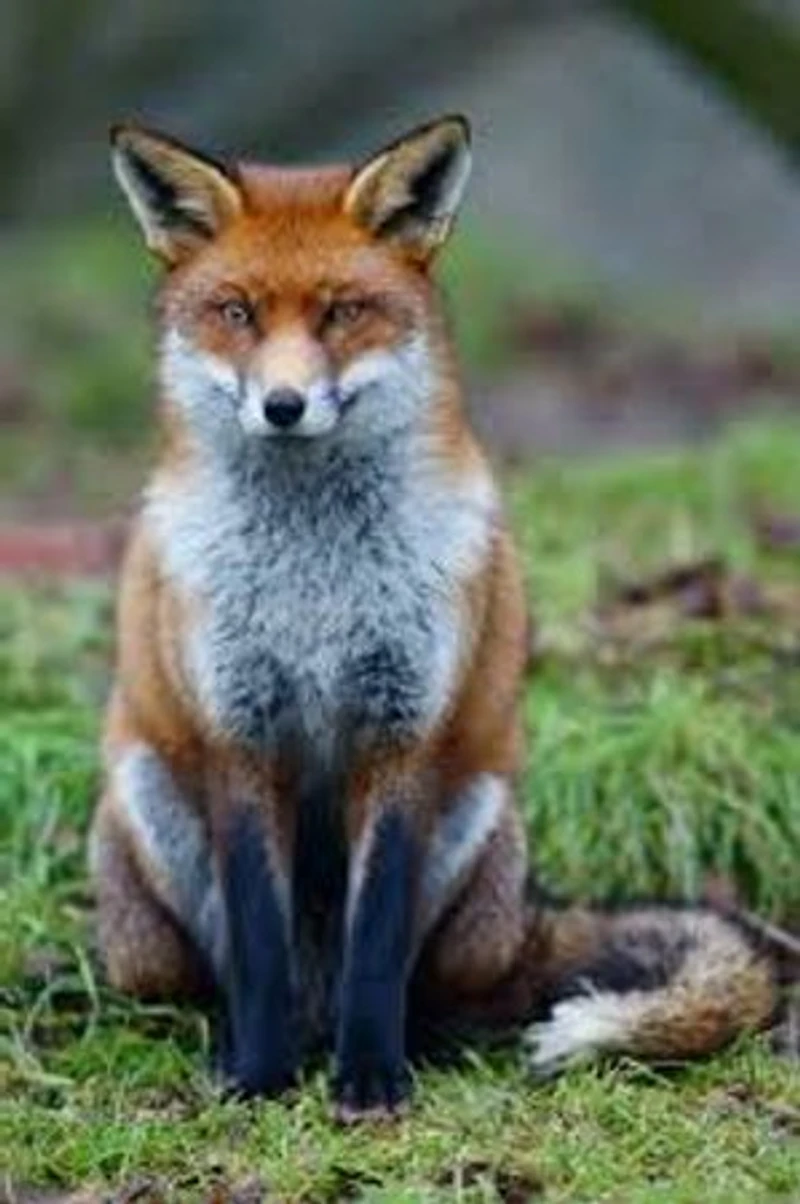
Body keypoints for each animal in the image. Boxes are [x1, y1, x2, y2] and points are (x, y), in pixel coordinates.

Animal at [89, 114, 777, 1122]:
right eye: (238, 312)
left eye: (341, 312)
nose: (284, 405)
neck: (316, 580)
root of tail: (529, 912)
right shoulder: (237, 731)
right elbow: (254, 941)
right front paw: (259, 1076)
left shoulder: (405, 729)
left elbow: (378, 941)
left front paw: (373, 1078)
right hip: (144, 824)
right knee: (227, 975)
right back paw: (244, 1041)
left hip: (478, 818)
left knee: (444, 993)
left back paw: (412, 1042)